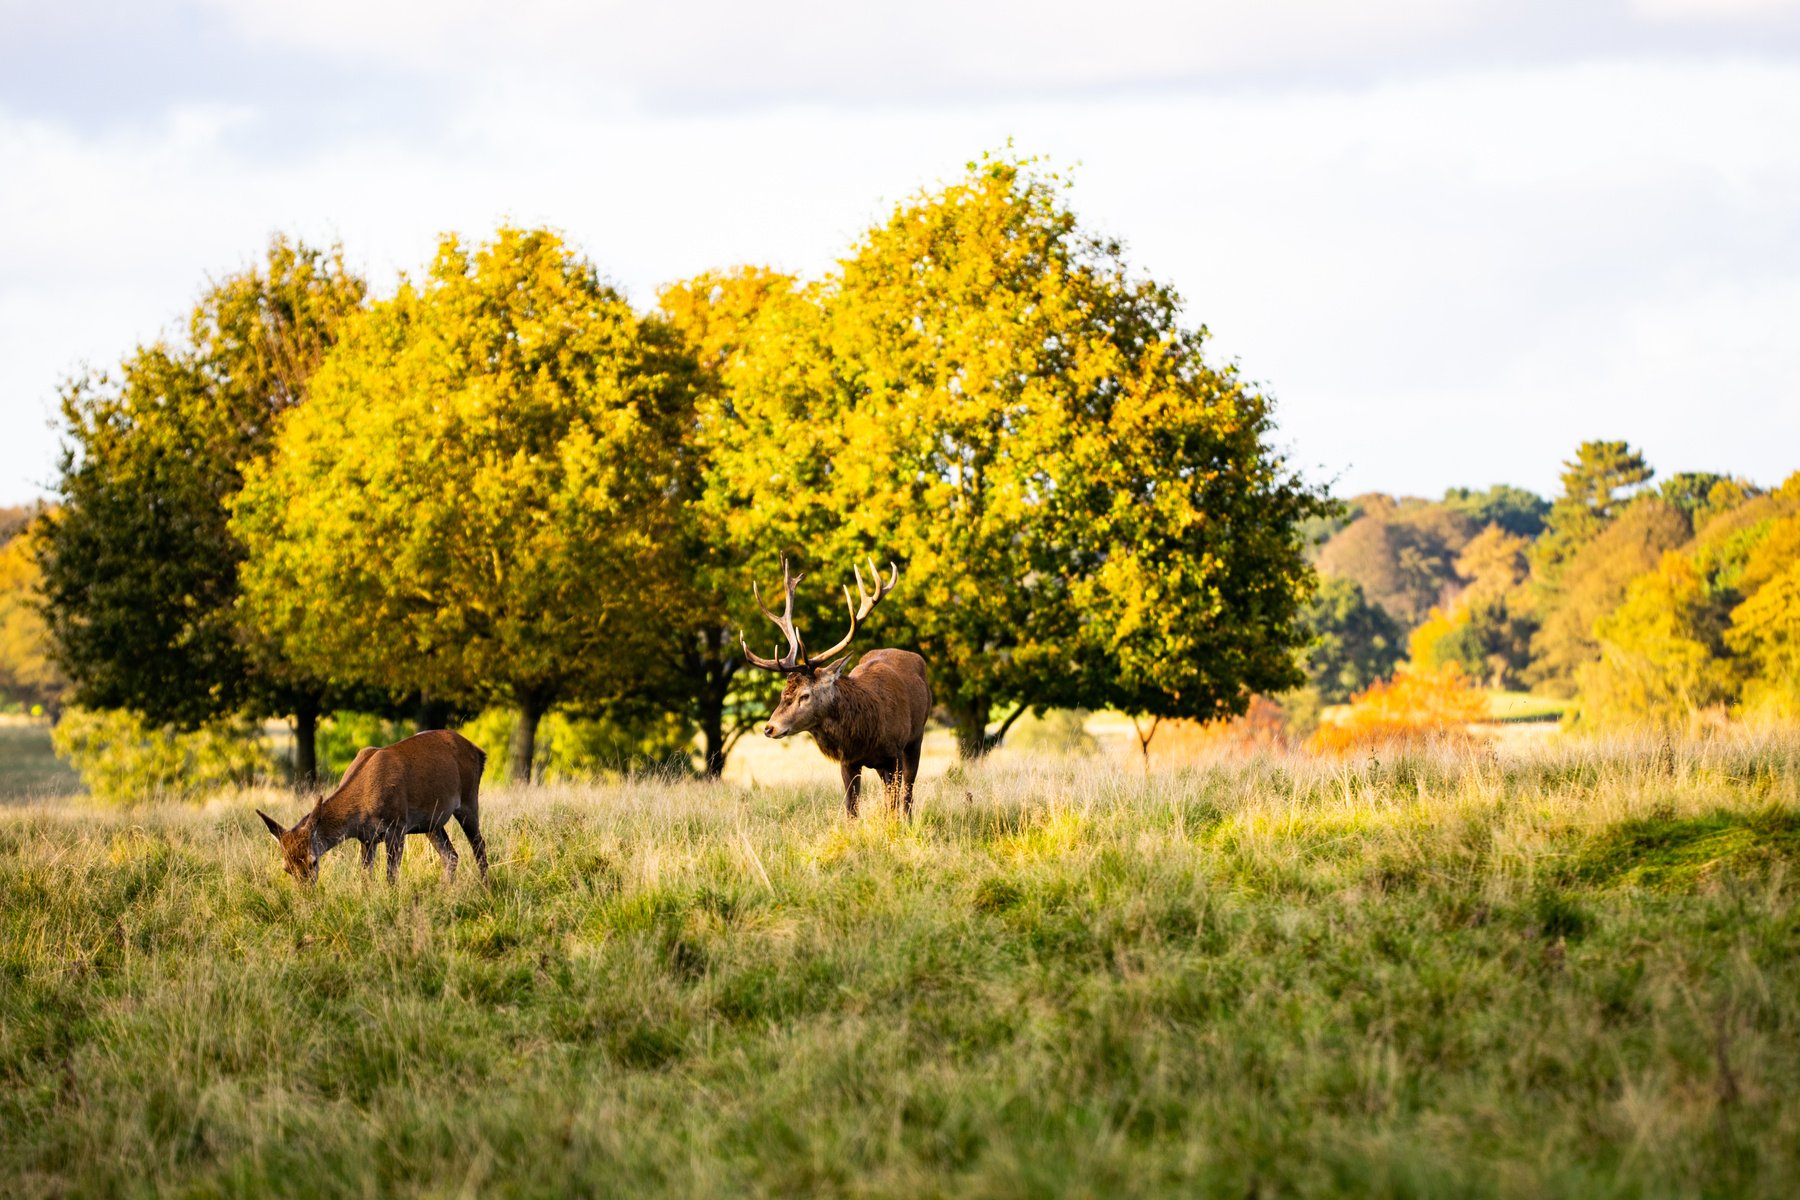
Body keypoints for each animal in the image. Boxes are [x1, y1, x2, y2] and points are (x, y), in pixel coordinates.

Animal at [257, 726, 489, 888]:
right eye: (286, 868)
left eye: (313, 861)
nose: (306, 895)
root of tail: (480, 752)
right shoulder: (367, 837)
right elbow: (365, 877)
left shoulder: (397, 825)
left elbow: (391, 876)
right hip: (431, 822)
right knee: (451, 856)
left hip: (468, 799)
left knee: (479, 847)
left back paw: (485, 889)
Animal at [741, 557, 936, 820]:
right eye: (783, 693)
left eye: (805, 695)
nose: (770, 728)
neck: (867, 734)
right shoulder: (848, 761)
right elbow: (851, 810)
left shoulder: (894, 753)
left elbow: (895, 804)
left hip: (916, 737)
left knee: (908, 793)